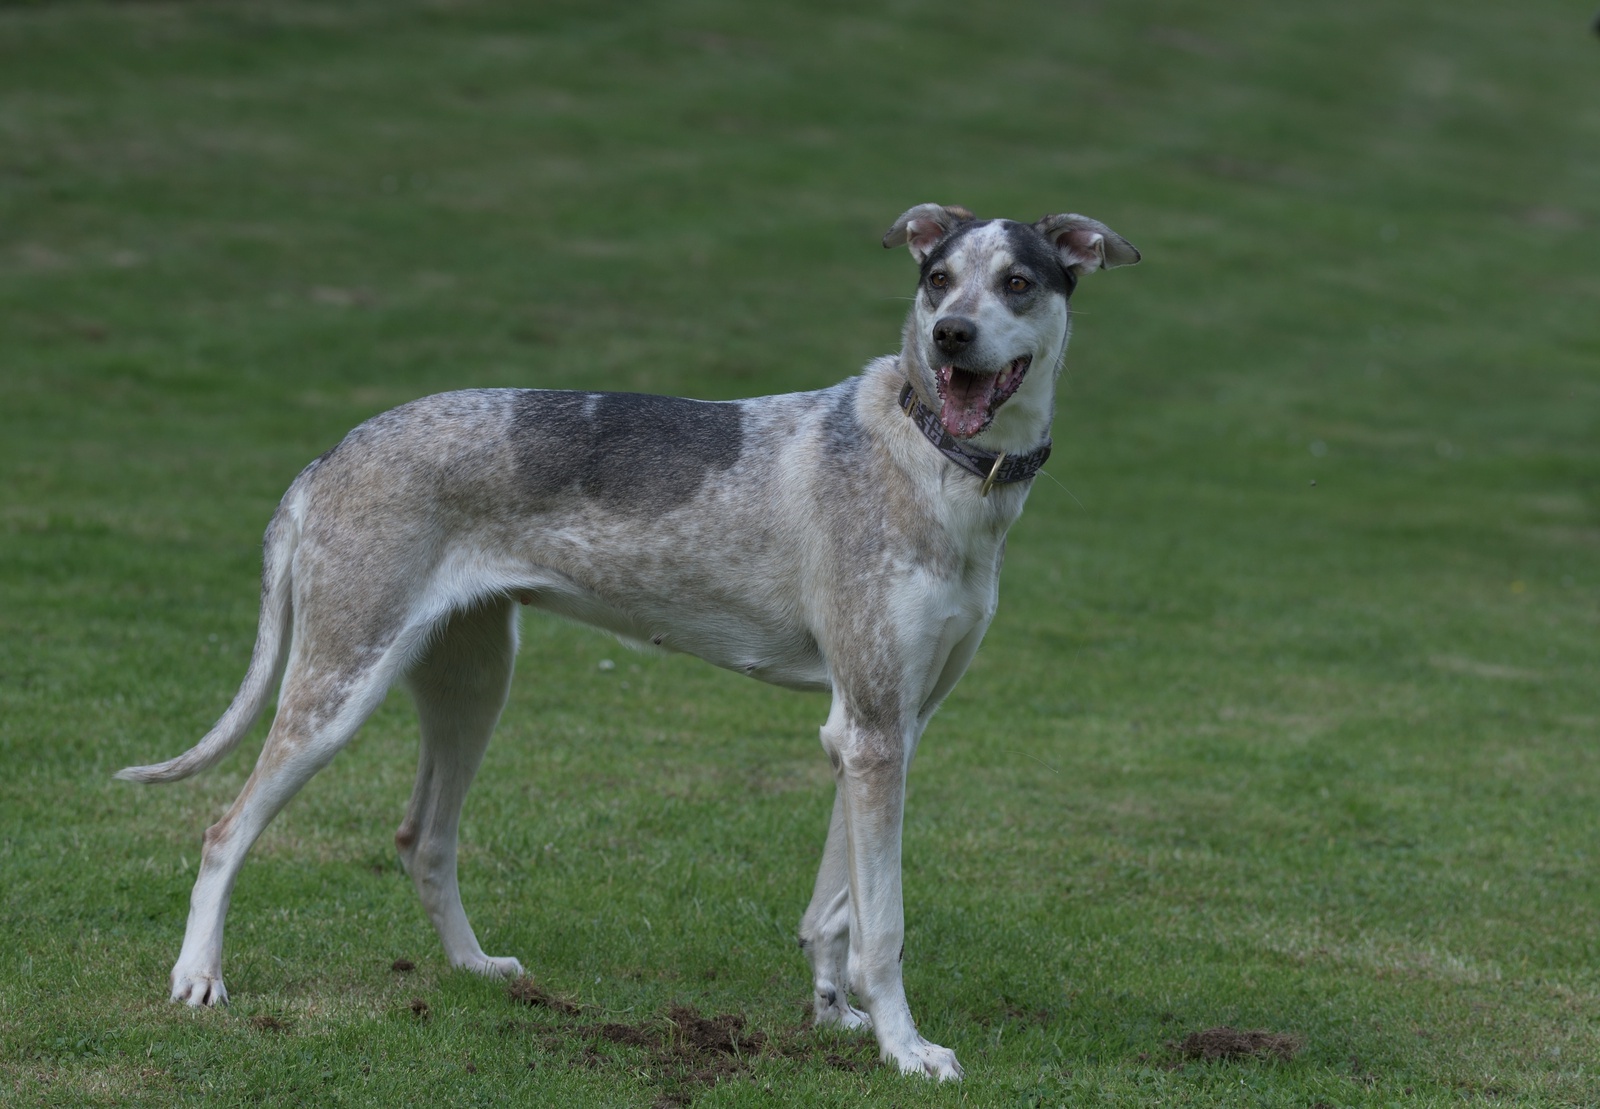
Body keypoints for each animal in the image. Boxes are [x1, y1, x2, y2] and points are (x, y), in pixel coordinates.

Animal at [117, 204, 1139, 1079]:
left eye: (1017, 282)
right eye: (937, 279)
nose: (950, 336)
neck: (931, 453)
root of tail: (328, 456)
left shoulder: (880, 730)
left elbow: (836, 909)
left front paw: (834, 1015)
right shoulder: (873, 733)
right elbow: (882, 927)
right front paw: (905, 1047)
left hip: (472, 684)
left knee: (423, 839)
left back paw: (476, 968)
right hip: (339, 686)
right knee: (224, 828)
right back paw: (199, 976)